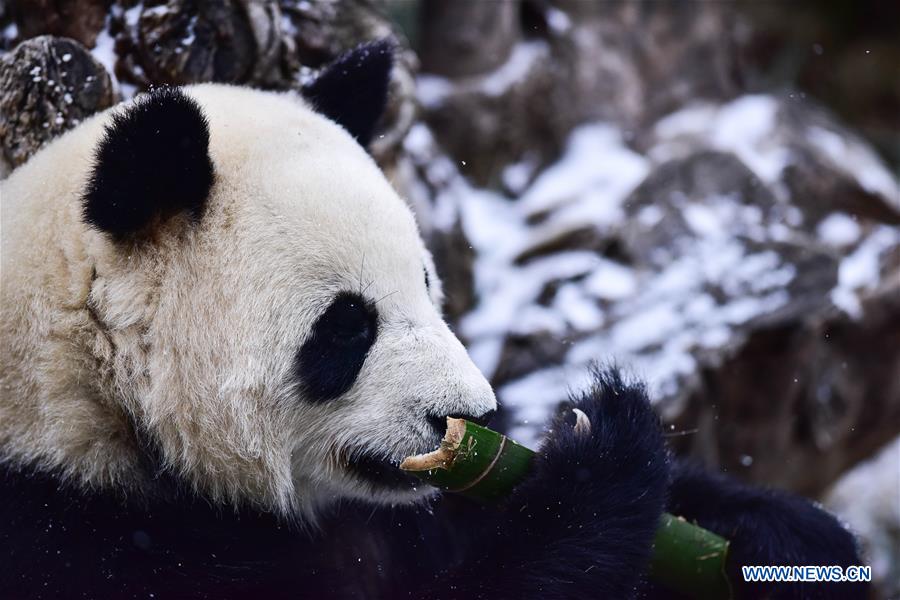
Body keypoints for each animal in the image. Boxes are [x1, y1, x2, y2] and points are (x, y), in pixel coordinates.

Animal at [0, 41, 866, 599]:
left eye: (427, 285)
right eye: (347, 327)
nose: (470, 416)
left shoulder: (420, 514)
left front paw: (786, 538)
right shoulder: (76, 536)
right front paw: (605, 464)